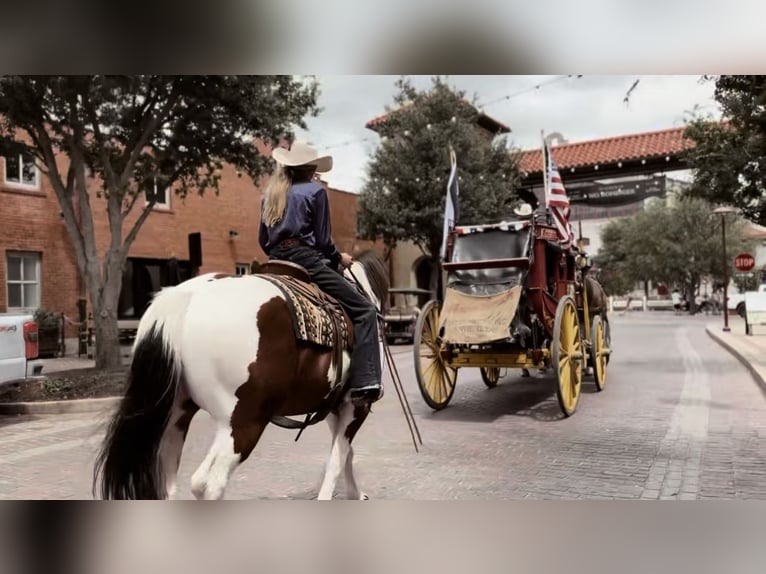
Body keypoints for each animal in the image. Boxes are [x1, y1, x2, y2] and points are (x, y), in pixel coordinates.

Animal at [93, 251, 390, 500]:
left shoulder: (332, 407)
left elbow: (346, 454)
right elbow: (338, 458)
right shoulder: (356, 405)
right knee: (212, 484)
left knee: (173, 484)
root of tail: (186, 297)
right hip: (245, 422)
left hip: (178, 418)